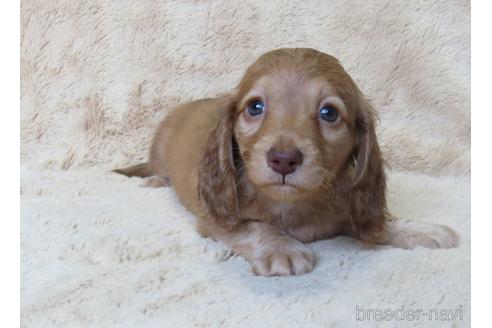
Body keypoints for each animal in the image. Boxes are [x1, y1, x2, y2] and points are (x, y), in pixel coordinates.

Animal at [114, 47, 458, 276]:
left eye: (329, 113)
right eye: (255, 107)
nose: (283, 159)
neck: (293, 205)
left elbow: (371, 221)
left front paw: (416, 228)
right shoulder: (213, 219)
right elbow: (254, 227)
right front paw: (281, 247)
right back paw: (154, 179)